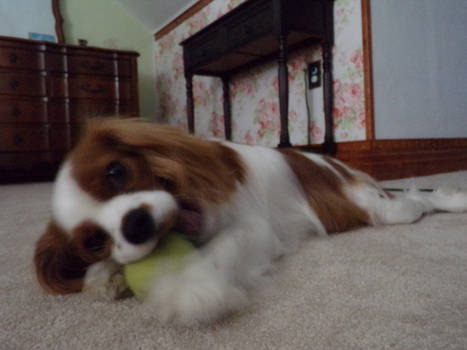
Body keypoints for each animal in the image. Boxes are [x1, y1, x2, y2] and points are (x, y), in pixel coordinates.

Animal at [33, 118, 467, 326]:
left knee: (419, 200)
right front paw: (106, 275)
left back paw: (453, 198)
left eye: (115, 171)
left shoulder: (254, 230)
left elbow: (220, 250)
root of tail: (336, 165)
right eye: (93, 242)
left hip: (381, 210)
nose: (135, 224)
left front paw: (189, 288)